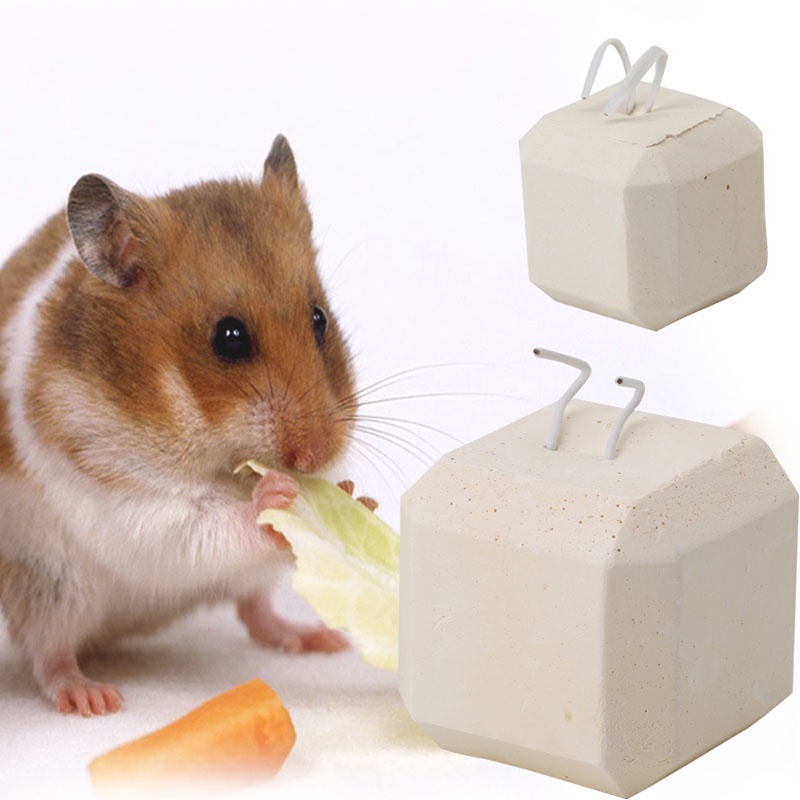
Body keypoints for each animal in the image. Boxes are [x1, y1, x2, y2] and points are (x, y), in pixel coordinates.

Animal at [0, 135, 359, 715]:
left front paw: (351, 494)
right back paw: (92, 698)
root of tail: (117, 633)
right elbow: (199, 524)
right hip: (49, 582)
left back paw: (319, 640)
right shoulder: (127, 500)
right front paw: (278, 495)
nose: (315, 457)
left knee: (254, 609)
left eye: (319, 319)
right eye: (229, 338)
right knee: (49, 653)